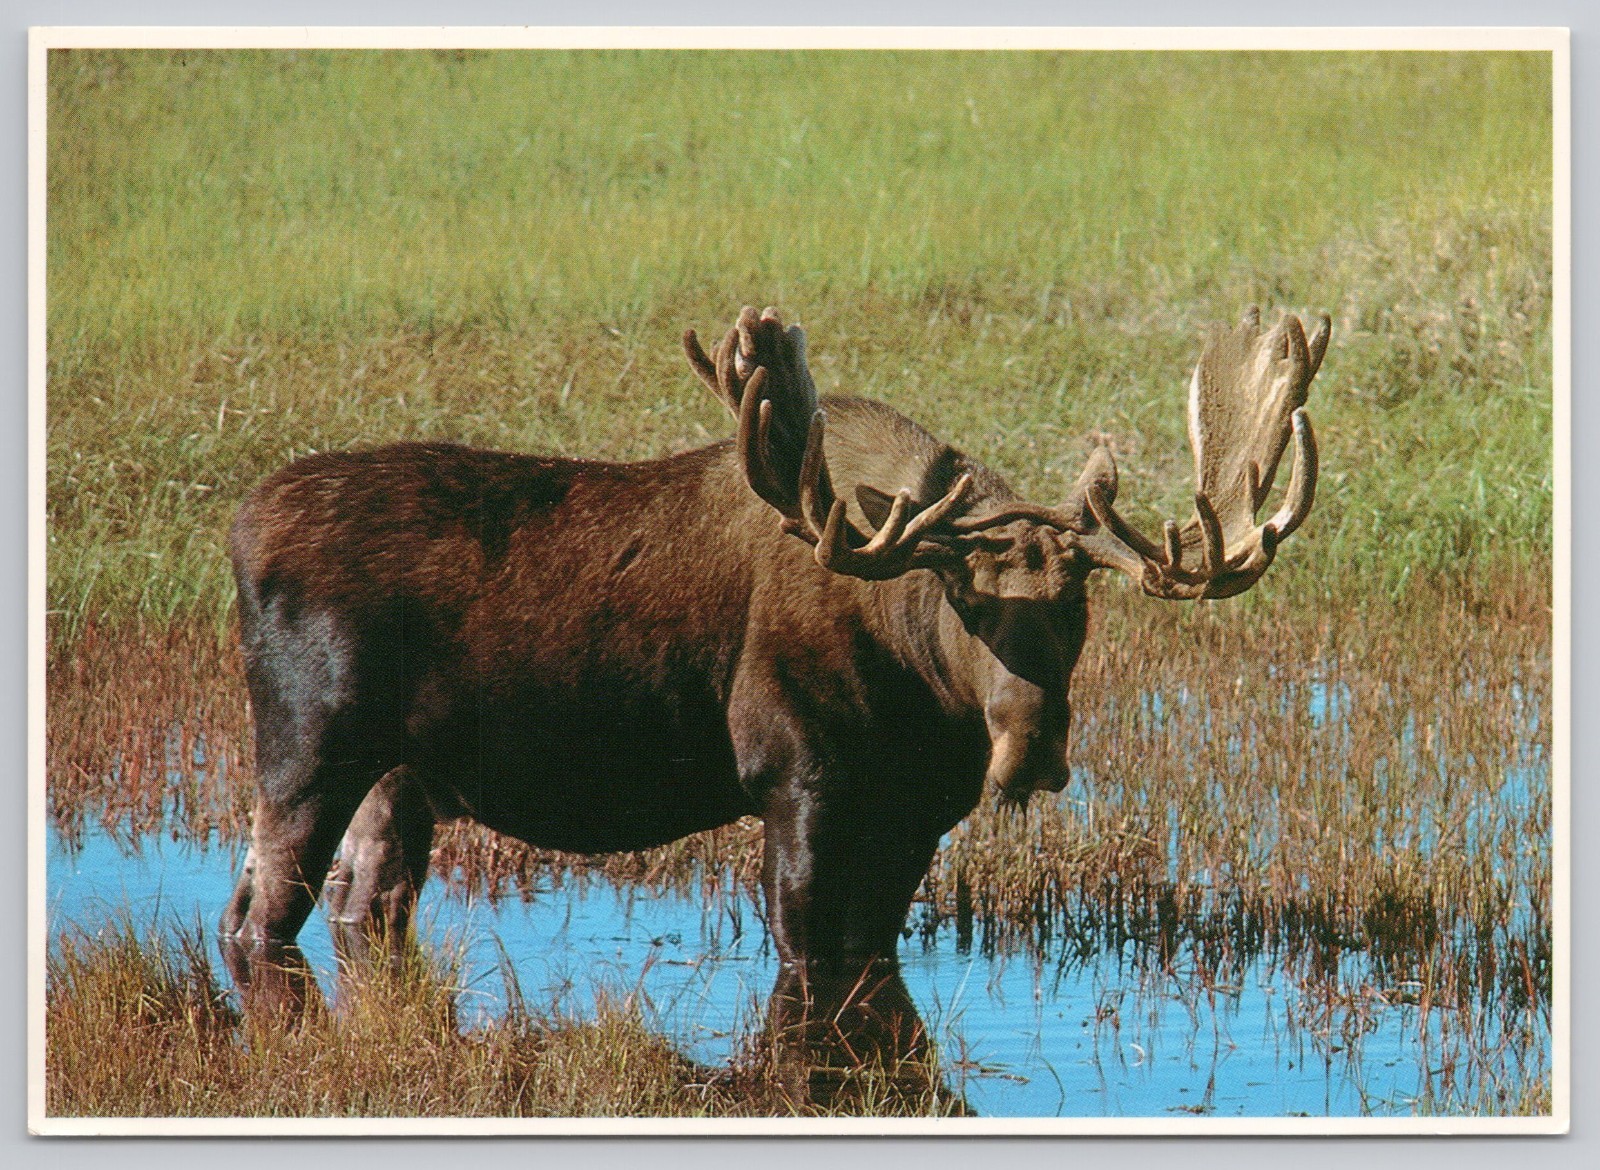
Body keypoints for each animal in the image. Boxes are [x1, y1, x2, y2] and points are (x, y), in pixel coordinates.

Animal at [220, 304, 1325, 1096]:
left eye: (1077, 599)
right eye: (964, 600)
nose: (1028, 752)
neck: (925, 699)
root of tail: (236, 530)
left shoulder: (916, 812)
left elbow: (871, 959)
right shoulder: (798, 777)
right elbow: (804, 960)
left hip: (400, 777)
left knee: (366, 905)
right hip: (308, 745)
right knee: (256, 913)